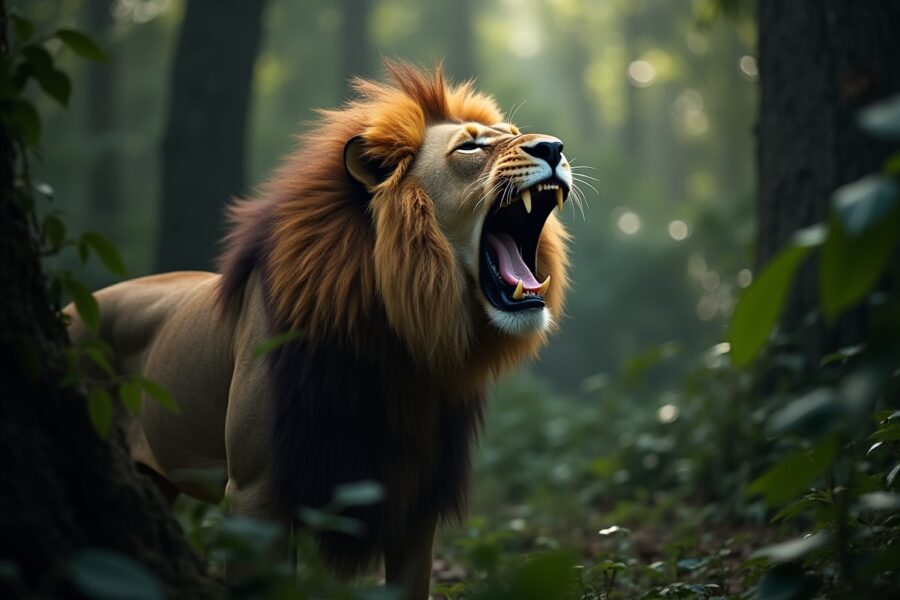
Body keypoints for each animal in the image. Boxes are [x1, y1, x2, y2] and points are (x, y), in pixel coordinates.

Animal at [67, 62, 572, 598]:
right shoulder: (255, 493)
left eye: (513, 133)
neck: (398, 341)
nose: (554, 147)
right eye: (471, 147)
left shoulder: (415, 496)